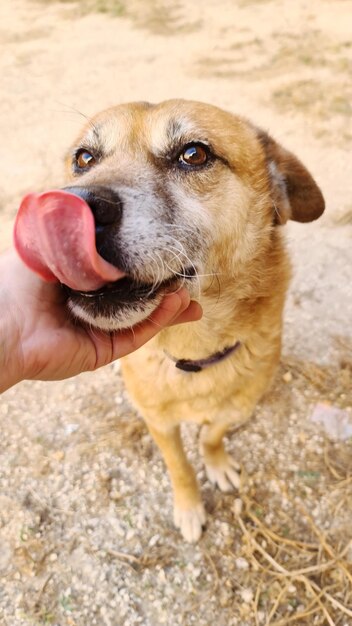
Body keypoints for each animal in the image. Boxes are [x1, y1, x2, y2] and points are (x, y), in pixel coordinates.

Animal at [62, 100, 324, 540]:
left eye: (194, 154)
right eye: (84, 159)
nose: (72, 204)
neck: (195, 355)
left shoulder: (237, 407)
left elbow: (210, 435)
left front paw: (216, 463)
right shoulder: (158, 422)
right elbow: (180, 466)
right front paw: (189, 507)